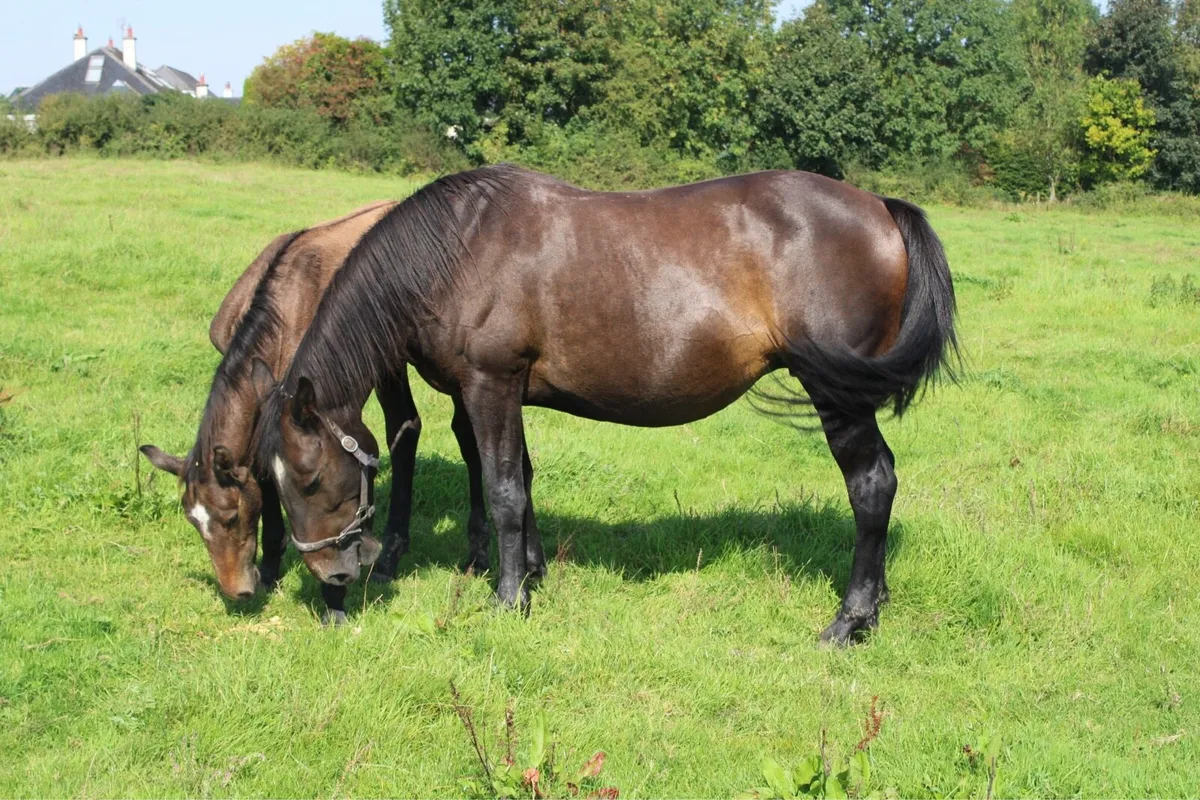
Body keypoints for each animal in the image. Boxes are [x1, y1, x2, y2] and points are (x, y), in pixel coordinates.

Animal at [140, 201, 503, 624]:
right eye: (193, 521)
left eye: (231, 516)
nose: (237, 591)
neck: (288, 304)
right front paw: (271, 566)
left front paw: (334, 596)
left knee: (441, 435)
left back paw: (464, 554)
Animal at [253, 165, 958, 644]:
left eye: (309, 479)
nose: (332, 583)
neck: (455, 250)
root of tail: (880, 207)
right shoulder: (506, 393)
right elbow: (523, 483)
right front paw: (531, 576)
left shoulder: (490, 384)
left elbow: (503, 490)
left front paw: (507, 600)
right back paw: (876, 604)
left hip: (837, 395)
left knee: (872, 484)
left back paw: (850, 620)